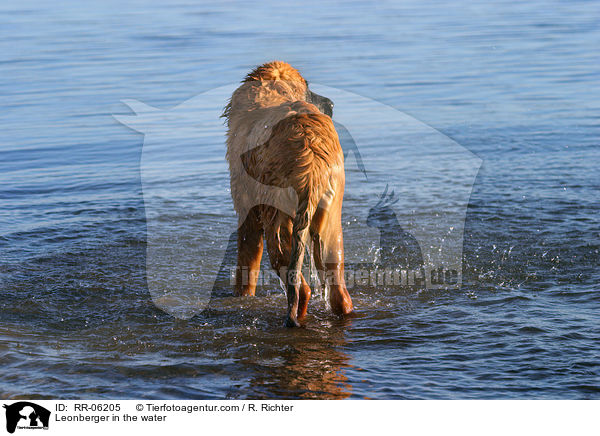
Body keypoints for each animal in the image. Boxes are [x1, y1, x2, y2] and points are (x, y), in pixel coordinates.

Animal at [221, 61, 352, 328]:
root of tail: (311, 160)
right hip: (329, 221)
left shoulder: (248, 212)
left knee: (301, 288)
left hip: (278, 222)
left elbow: (246, 267)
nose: (331, 104)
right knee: (338, 292)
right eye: (308, 87)